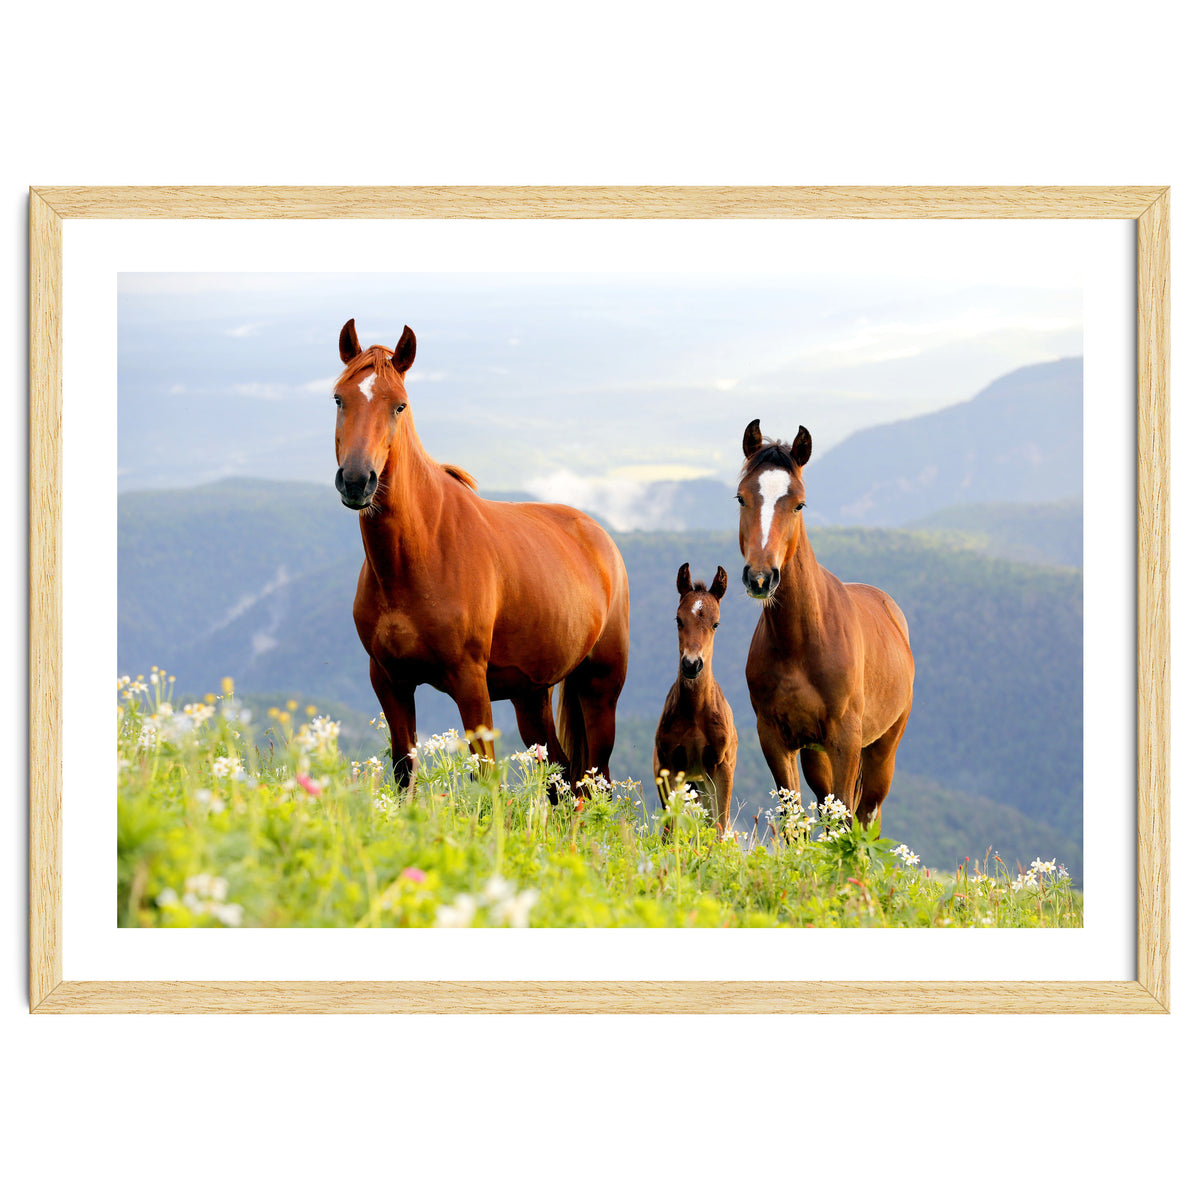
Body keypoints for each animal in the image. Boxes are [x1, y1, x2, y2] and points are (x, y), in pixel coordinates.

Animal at [332, 319, 629, 790]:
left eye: (399, 406)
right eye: (340, 398)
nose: (358, 480)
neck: (417, 556)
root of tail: (600, 537)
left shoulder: (470, 682)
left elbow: (486, 778)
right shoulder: (389, 681)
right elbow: (403, 771)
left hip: (600, 688)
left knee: (593, 781)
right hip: (531, 695)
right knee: (561, 776)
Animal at [653, 563, 738, 832]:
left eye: (716, 623)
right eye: (678, 619)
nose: (692, 664)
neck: (695, 713)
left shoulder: (721, 767)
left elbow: (720, 827)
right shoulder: (668, 767)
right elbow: (670, 828)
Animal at [737, 420, 914, 826]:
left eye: (799, 503)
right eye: (741, 498)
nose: (760, 577)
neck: (801, 641)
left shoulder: (845, 740)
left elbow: (847, 817)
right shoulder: (776, 739)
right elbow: (793, 819)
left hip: (882, 748)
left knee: (867, 814)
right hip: (815, 754)